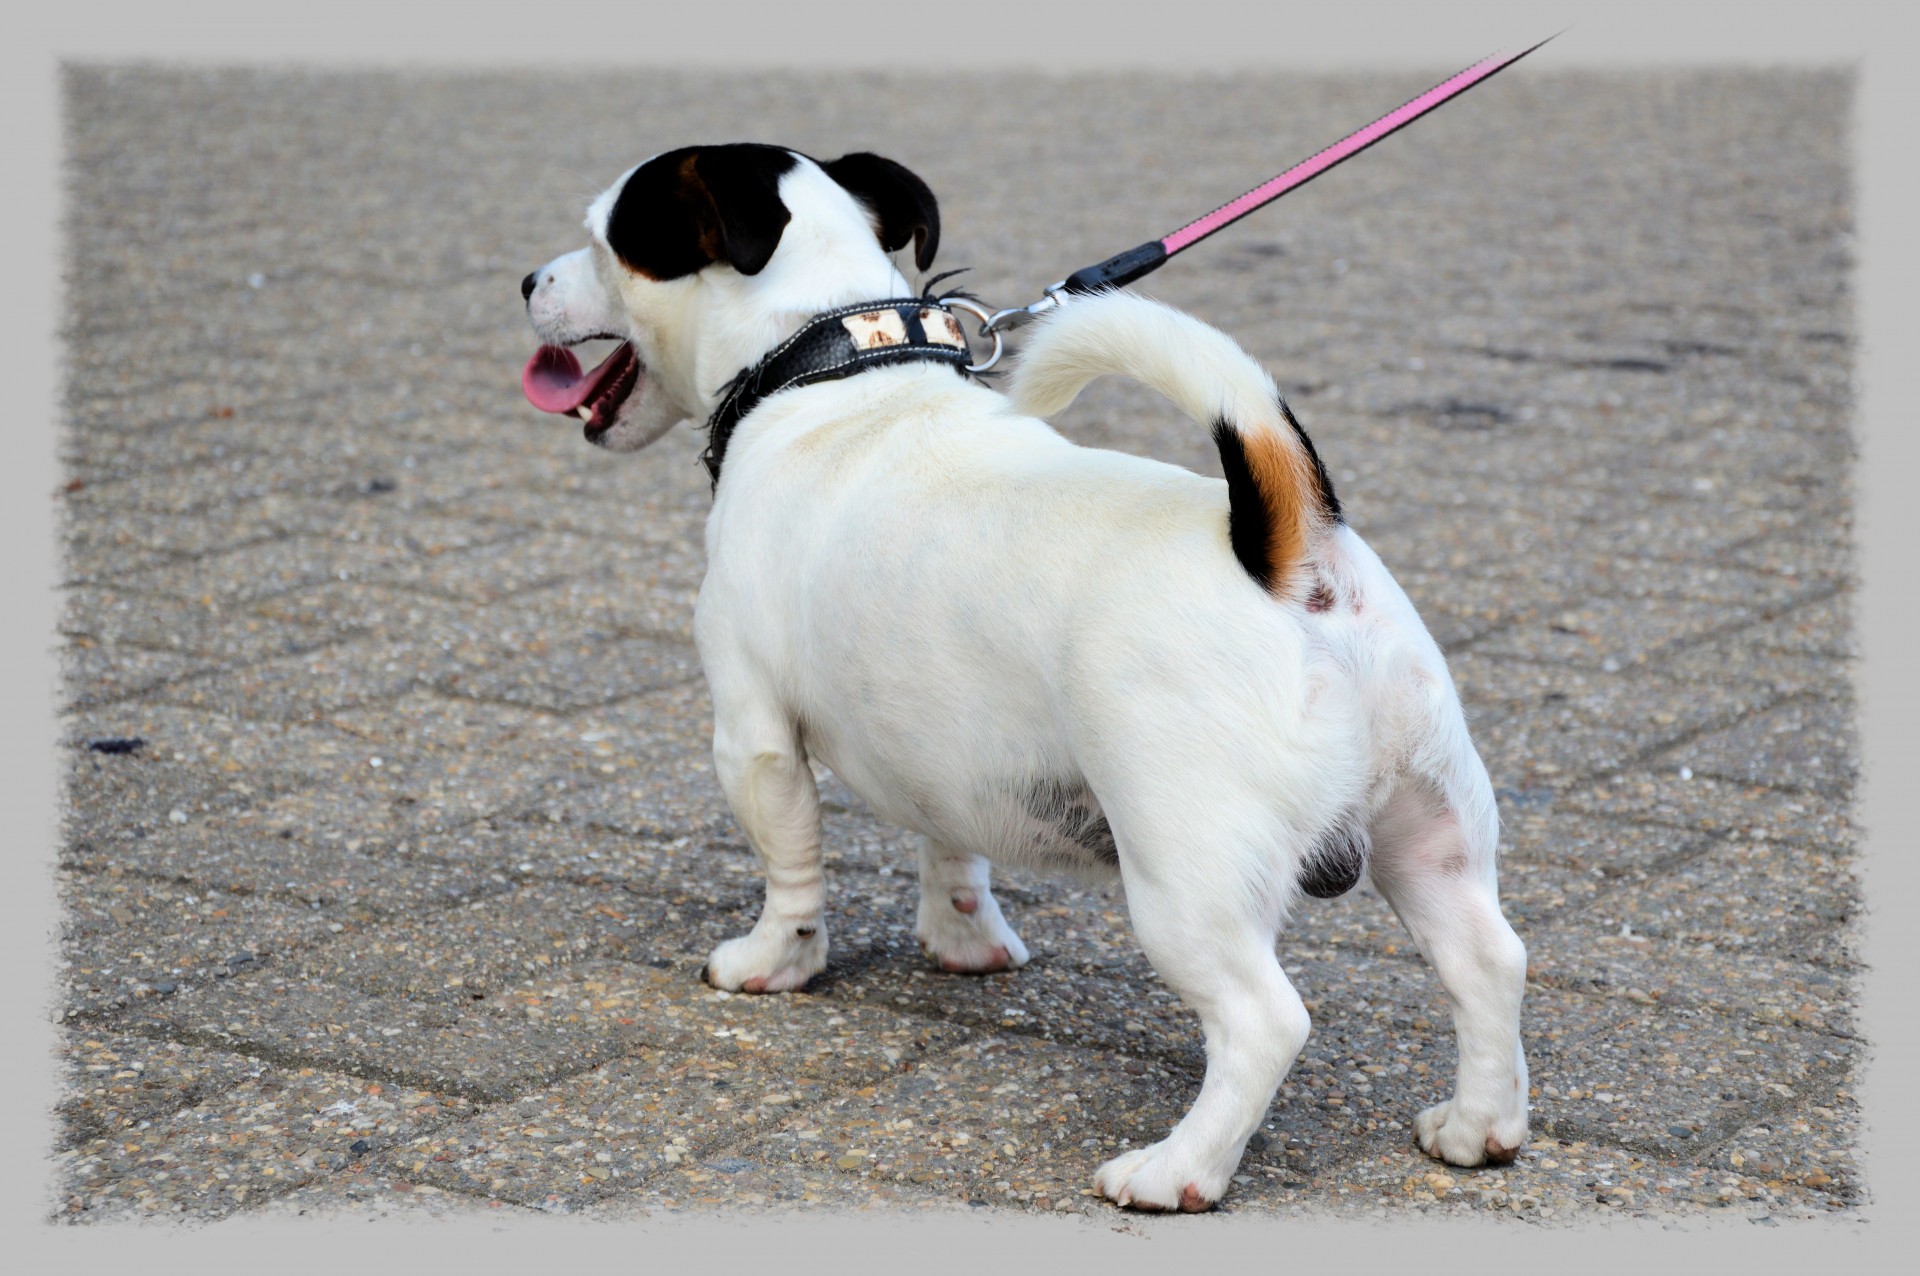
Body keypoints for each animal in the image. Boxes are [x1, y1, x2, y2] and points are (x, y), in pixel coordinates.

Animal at [514, 143, 1528, 1212]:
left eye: (605, 239)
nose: (528, 280)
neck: (830, 366)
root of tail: (1290, 559)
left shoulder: (751, 736)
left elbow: (791, 870)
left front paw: (774, 963)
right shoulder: (941, 747)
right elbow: (952, 850)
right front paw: (965, 944)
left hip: (1186, 882)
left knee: (1265, 1022)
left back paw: (1177, 1171)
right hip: (1430, 833)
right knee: (1487, 964)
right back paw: (1478, 1129)